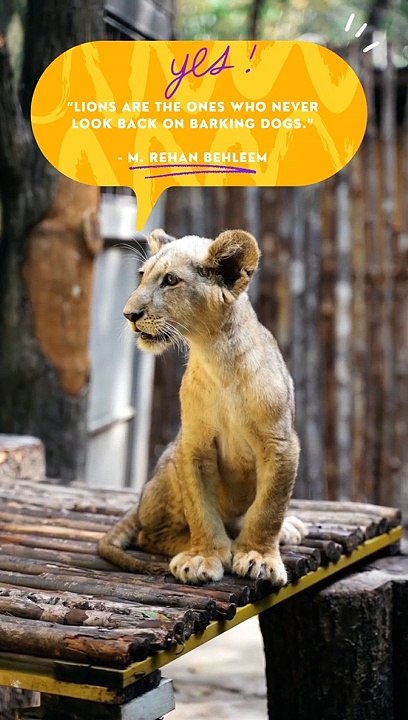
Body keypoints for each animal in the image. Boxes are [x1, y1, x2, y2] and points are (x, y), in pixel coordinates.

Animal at [98, 228, 305, 585]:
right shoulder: (192, 444)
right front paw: (203, 556)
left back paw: (283, 530)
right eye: (142, 275)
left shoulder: (281, 444)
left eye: (170, 280)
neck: (216, 357)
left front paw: (259, 557)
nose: (129, 315)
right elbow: (201, 510)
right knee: (149, 536)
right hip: (166, 470)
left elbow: (269, 509)